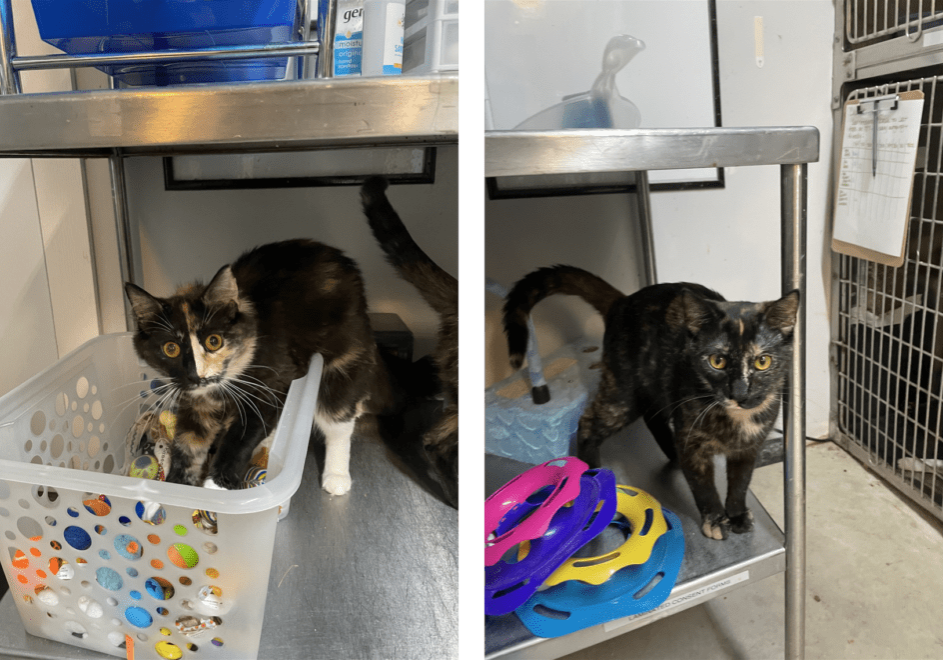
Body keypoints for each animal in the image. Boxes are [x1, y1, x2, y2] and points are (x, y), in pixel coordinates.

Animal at [126, 238, 390, 496]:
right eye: (170, 348)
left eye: (214, 341)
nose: (196, 376)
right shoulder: (196, 403)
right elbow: (188, 443)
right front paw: (177, 489)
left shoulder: (271, 386)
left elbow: (242, 436)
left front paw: (218, 486)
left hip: (343, 360)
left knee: (338, 421)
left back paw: (336, 477)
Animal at [506, 266, 800, 540]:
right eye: (717, 361)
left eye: (763, 361)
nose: (740, 393)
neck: (737, 420)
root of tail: (623, 301)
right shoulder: (692, 441)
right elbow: (703, 485)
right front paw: (715, 519)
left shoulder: (749, 447)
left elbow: (740, 482)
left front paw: (737, 514)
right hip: (623, 395)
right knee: (589, 421)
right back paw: (592, 470)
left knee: (653, 418)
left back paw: (673, 452)